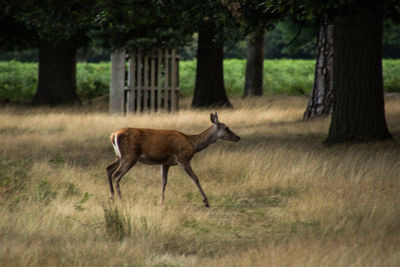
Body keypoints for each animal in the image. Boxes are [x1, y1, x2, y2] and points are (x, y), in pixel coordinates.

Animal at [104, 112, 239, 208]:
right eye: (227, 128)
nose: (238, 137)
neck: (193, 143)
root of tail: (113, 135)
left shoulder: (165, 163)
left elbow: (163, 182)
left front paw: (161, 202)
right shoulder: (183, 158)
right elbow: (195, 178)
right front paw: (206, 201)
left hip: (119, 156)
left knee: (108, 169)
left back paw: (111, 198)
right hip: (129, 155)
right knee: (116, 175)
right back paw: (121, 200)